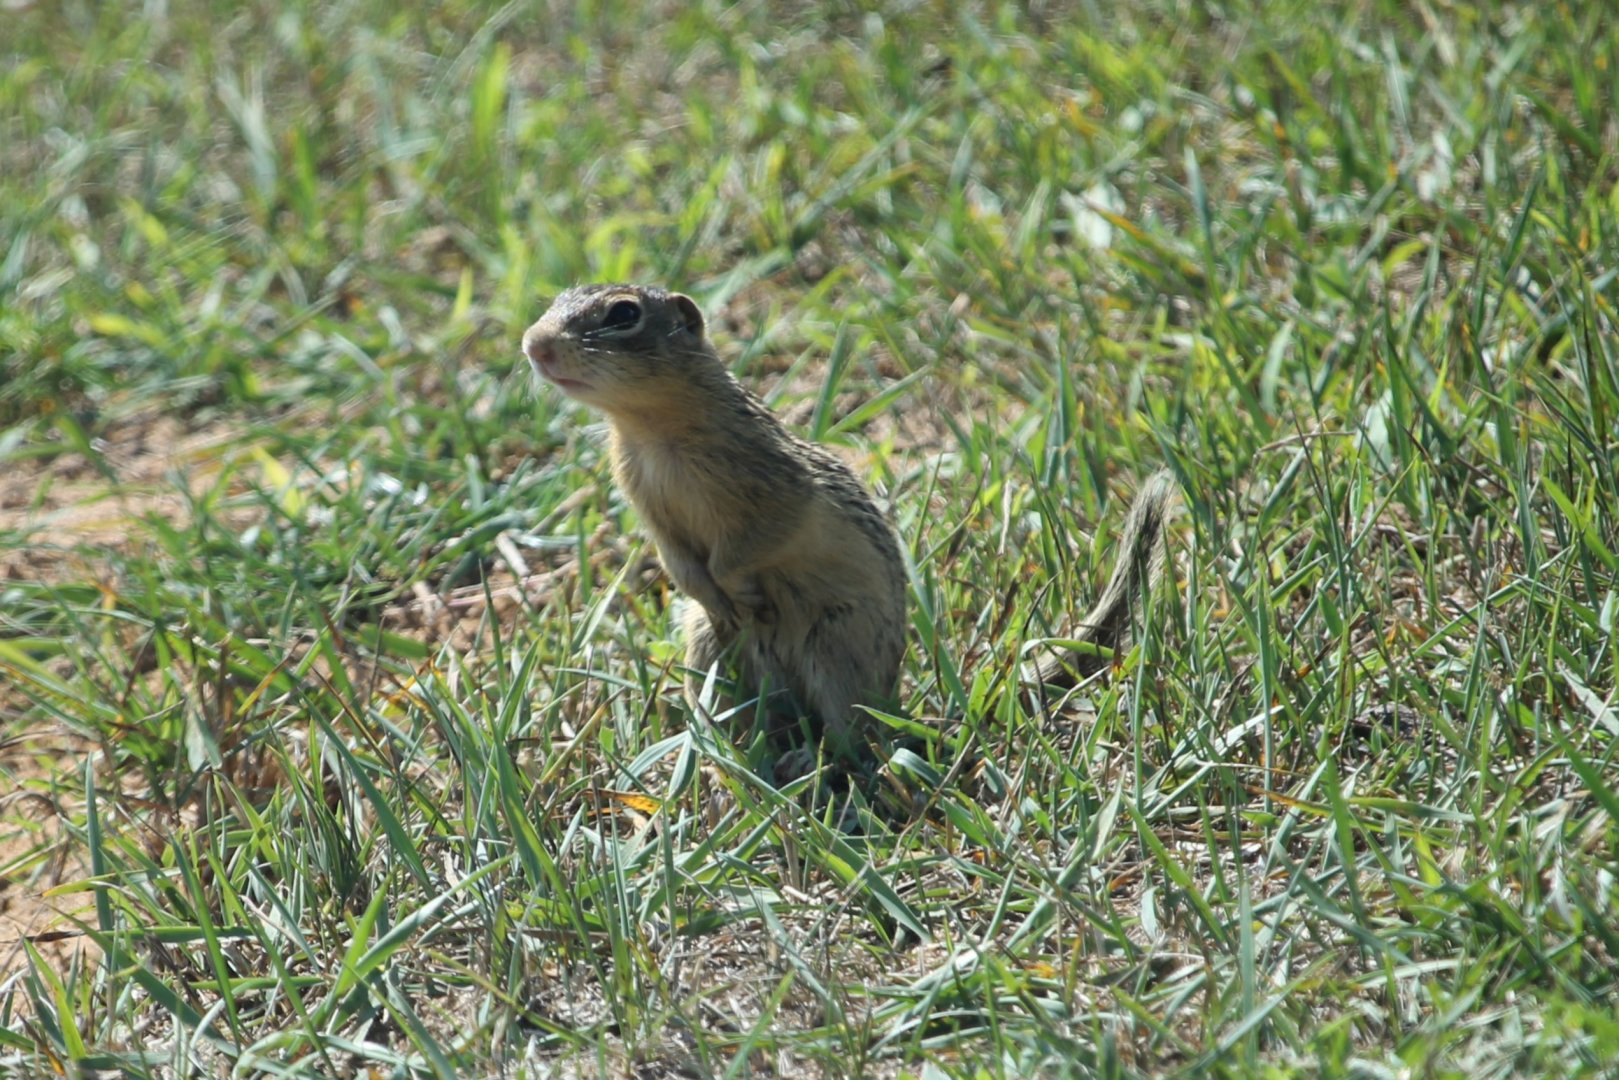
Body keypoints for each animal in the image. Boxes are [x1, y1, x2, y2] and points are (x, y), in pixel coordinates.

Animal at [521, 284, 1172, 765]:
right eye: (557, 299)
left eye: (623, 314)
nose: (534, 344)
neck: (652, 430)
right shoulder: (646, 501)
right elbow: (676, 557)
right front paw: (711, 590)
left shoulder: (775, 488)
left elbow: (753, 541)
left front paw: (737, 585)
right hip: (712, 649)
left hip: (836, 649)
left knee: (852, 736)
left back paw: (810, 758)